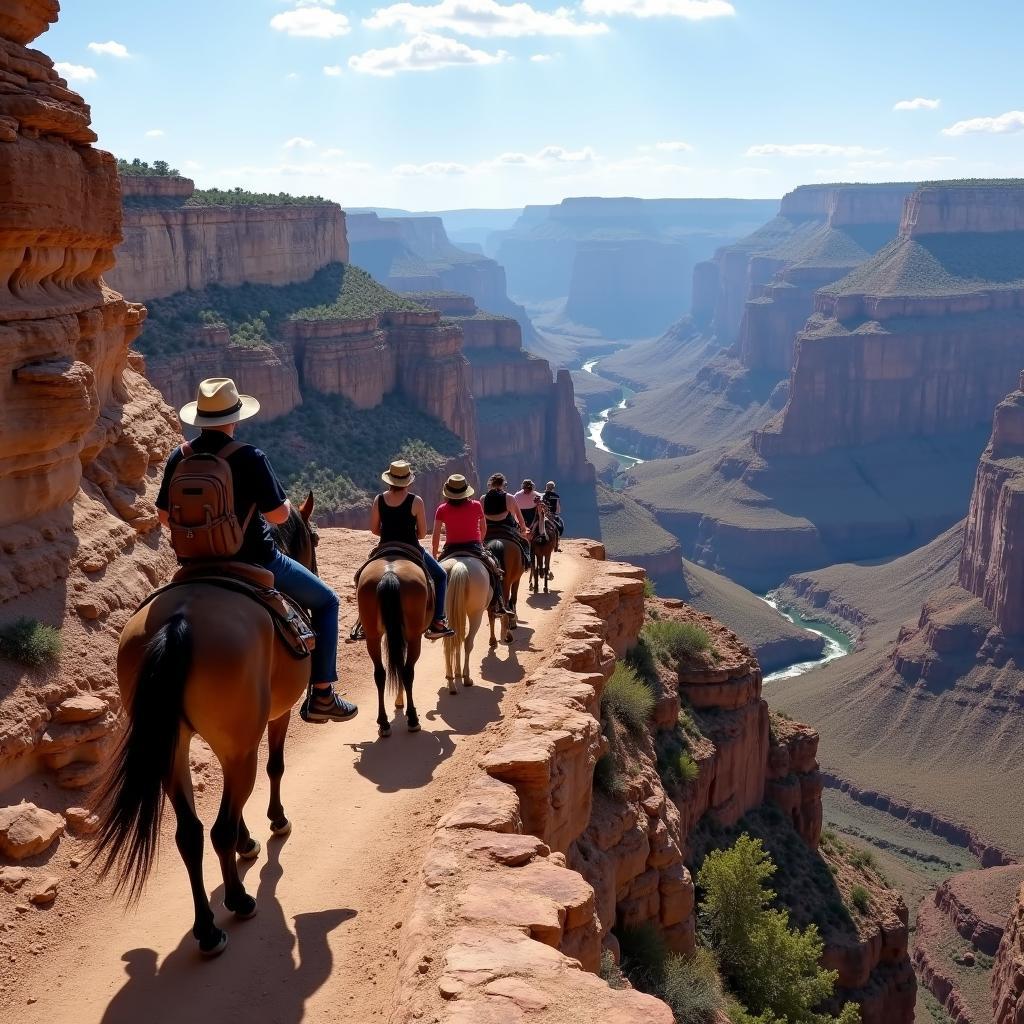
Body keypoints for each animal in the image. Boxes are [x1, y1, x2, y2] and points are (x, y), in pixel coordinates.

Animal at [91, 491, 319, 954]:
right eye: (315, 539)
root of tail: (179, 621)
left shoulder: (226, 743)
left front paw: (249, 841)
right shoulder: (273, 719)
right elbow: (275, 768)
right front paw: (275, 821)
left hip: (173, 748)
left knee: (191, 834)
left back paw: (207, 927)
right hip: (236, 746)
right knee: (218, 829)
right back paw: (238, 900)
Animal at [356, 561, 432, 737]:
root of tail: (389, 574)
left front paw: (398, 700)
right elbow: (402, 666)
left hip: (372, 636)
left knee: (380, 674)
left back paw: (383, 723)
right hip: (414, 636)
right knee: (407, 672)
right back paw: (413, 719)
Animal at [436, 557, 491, 692]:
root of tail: (460, 565)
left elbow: (456, 641)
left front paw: (457, 673)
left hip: (449, 612)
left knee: (449, 642)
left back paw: (451, 681)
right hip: (476, 613)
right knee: (468, 642)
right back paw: (466, 678)